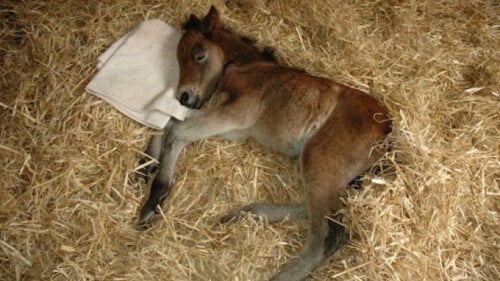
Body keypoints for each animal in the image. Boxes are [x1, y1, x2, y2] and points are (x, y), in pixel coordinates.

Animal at [139, 6, 392, 280]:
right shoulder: (235, 128)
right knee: (321, 210)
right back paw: (246, 214)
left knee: (330, 234)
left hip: (319, 157)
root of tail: (387, 131)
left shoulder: (239, 113)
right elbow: (168, 122)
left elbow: (177, 132)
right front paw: (144, 166)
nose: (184, 97)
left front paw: (154, 199)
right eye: (178, 58)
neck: (245, 66)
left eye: (199, 55)